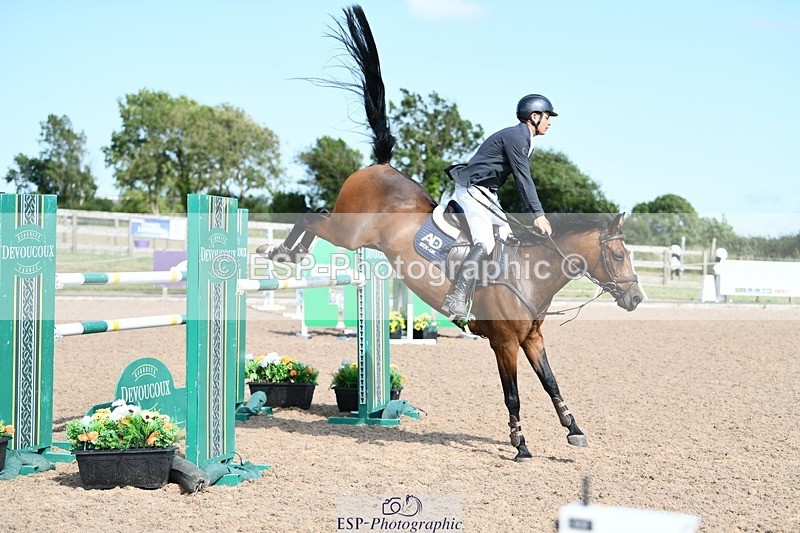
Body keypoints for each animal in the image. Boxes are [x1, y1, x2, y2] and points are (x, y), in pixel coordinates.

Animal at [261, 5, 643, 461]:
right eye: (618, 255)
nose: (637, 299)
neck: (531, 273)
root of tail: (382, 165)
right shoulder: (504, 343)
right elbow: (513, 395)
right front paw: (520, 444)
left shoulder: (533, 338)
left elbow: (552, 382)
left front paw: (574, 429)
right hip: (347, 232)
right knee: (309, 216)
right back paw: (283, 254)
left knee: (312, 216)